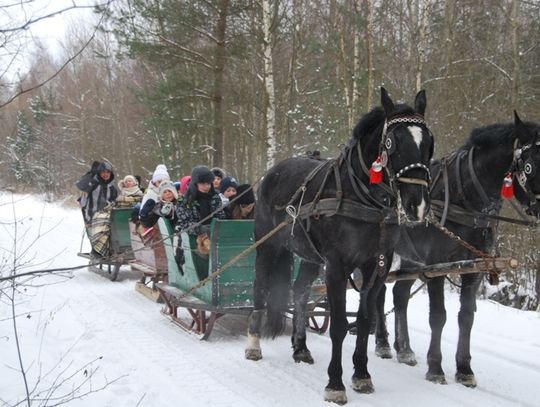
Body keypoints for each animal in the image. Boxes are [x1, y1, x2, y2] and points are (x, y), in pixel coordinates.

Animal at [245, 88, 434, 404]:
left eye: (429, 142)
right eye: (393, 142)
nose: (416, 204)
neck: (364, 198)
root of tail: (276, 169)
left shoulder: (376, 266)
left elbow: (365, 319)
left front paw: (362, 375)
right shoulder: (336, 266)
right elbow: (339, 326)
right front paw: (335, 383)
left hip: (309, 256)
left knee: (299, 292)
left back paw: (301, 347)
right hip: (268, 246)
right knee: (260, 288)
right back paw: (253, 344)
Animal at [372, 112, 540, 388]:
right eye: (530, 165)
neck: (467, 200)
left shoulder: (474, 268)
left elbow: (466, 317)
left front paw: (464, 369)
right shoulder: (437, 266)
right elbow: (438, 316)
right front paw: (436, 368)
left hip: (411, 259)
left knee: (399, 295)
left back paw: (404, 349)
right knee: (378, 293)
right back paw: (383, 344)